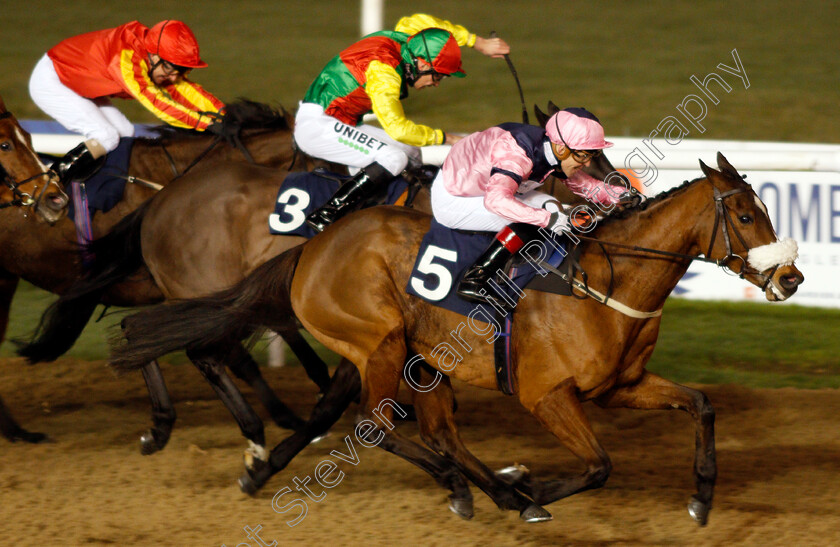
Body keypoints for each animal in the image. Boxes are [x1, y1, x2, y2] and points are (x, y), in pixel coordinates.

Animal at [110, 154, 800, 528]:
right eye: (745, 215)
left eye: (768, 209)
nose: (791, 278)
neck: (607, 283)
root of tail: (313, 244)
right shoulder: (546, 396)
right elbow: (599, 465)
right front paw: (536, 490)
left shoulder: (621, 386)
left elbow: (702, 405)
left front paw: (702, 498)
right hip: (383, 342)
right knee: (378, 424)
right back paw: (493, 489)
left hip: (424, 359)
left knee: (439, 432)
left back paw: (486, 488)